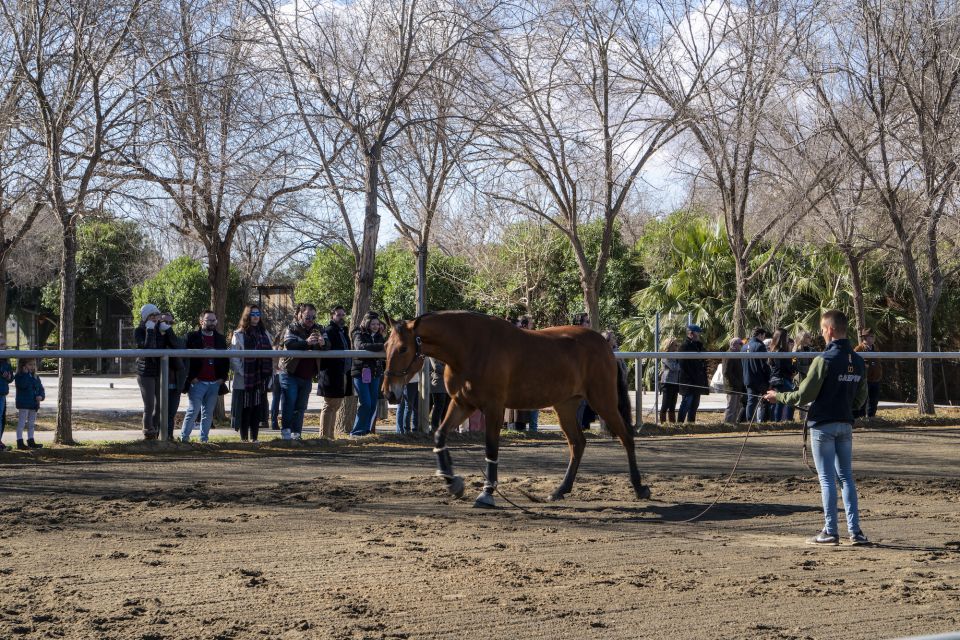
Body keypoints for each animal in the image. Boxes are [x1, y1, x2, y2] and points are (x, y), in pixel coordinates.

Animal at [382, 312, 652, 508]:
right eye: (385, 345)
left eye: (403, 348)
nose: (389, 392)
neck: (470, 346)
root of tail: (605, 345)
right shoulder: (462, 404)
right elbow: (439, 435)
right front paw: (452, 482)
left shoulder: (493, 407)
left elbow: (491, 448)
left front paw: (487, 493)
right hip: (565, 405)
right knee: (578, 443)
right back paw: (560, 490)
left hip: (602, 400)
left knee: (626, 436)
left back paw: (639, 487)